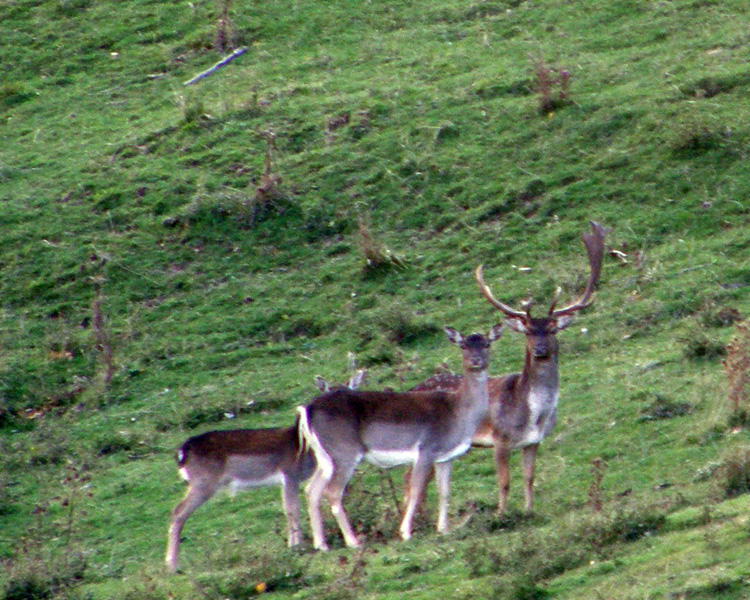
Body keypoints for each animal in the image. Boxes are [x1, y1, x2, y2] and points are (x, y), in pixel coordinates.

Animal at [165, 370, 368, 572]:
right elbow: (292, 509)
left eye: (350, 391)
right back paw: (172, 565)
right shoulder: (289, 472)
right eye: (330, 393)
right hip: (203, 481)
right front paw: (295, 546)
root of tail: (183, 451)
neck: (303, 449)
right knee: (178, 512)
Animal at [296, 326, 502, 552]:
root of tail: (307, 411)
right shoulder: (427, 448)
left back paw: (321, 544)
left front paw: (443, 529)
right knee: (332, 491)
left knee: (311, 489)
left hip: (323, 457)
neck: (458, 413)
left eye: (487, 343)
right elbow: (415, 489)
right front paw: (405, 532)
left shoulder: (446, 456)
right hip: (344, 450)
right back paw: (353, 541)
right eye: (463, 345)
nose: (476, 360)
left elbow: (444, 491)